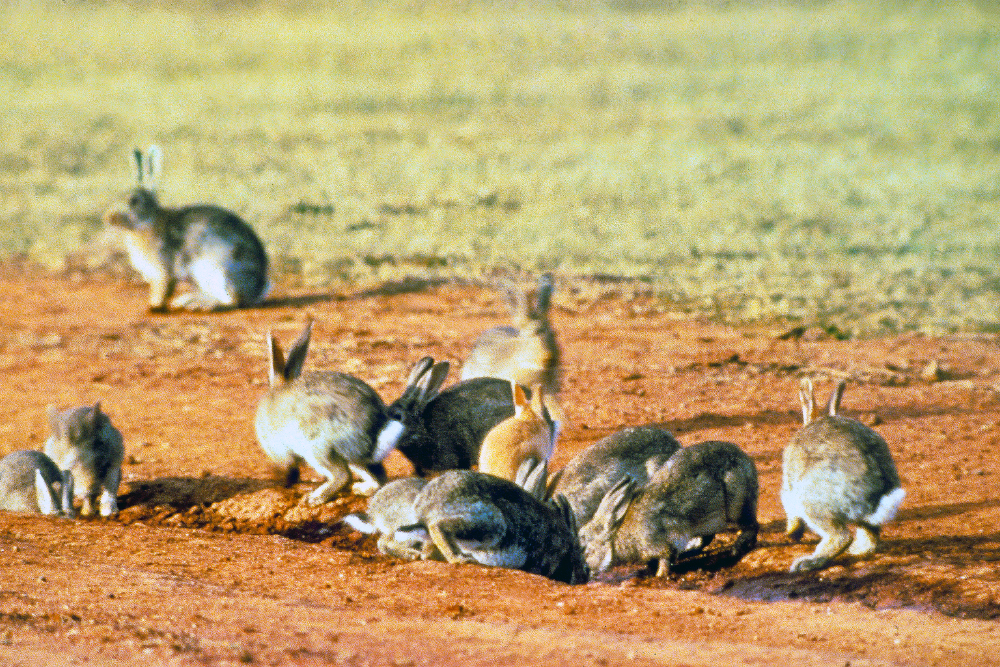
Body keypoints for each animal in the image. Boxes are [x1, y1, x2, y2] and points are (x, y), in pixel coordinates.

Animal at [103, 145, 269, 312]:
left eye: (134, 201)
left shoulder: (162, 271)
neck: (147, 222)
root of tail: (258, 289)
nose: (108, 217)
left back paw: (197, 303)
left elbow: (162, 289)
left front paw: (154, 307)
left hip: (219, 271)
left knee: (232, 301)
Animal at [254, 320, 398, 504]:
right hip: (350, 457)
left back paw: (315, 498)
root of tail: (375, 431)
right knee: (378, 478)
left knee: (342, 476)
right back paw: (360, 489)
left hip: (317, 447)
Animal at [391, 469, 589, 584]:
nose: (585, 577)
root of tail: (425, 509)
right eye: (584, 562)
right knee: (438, 526)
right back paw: (460, 559)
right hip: (492, 523)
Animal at [579, 440, 759, 577]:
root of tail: (747, 462)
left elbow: (665, 558)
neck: (616, 533)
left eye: (586, 550)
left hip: (736, 504)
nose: (584, 573)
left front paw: (660, 576)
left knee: (751, 525)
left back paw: (736, 548)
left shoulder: (659, 542)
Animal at [782, 378, 906, 573]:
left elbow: (791, 511)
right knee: (871, 538)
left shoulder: (788, 488)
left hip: (811, 501)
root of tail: (876, 496)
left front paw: (792, 532)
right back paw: (856, 551)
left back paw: (806, 563)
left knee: (841, 536)